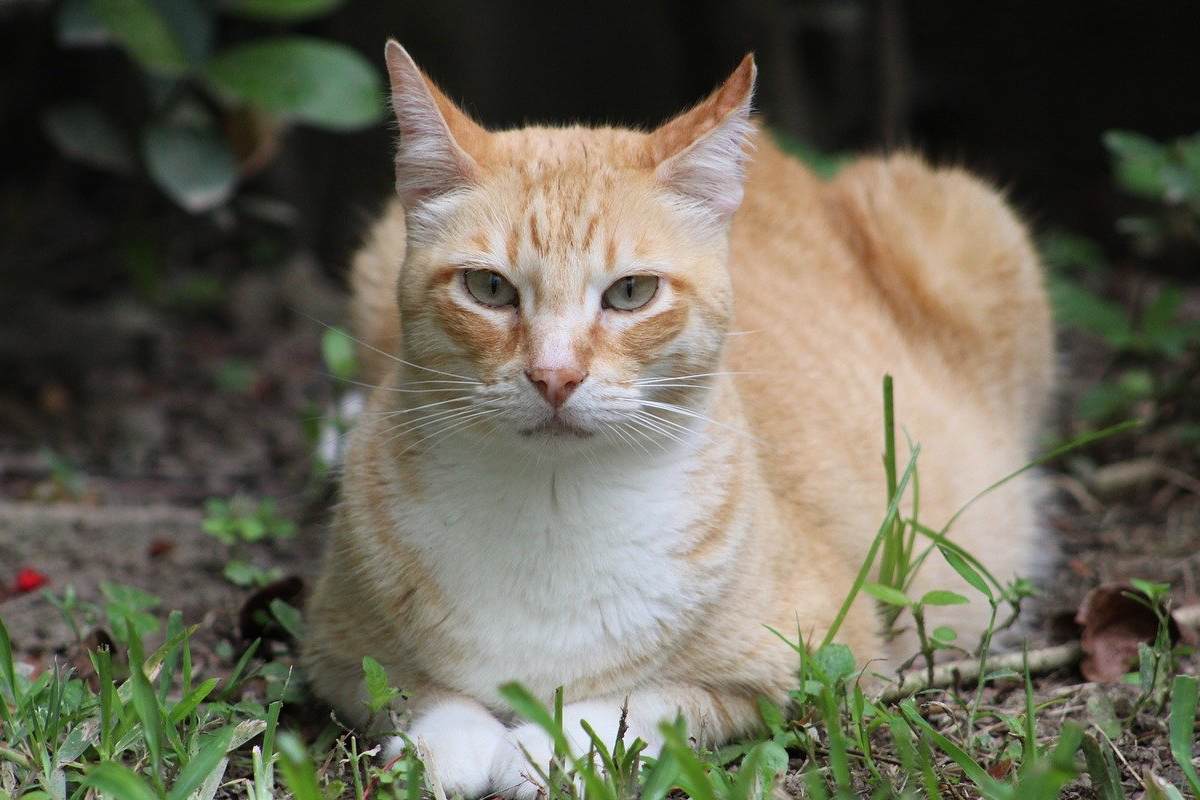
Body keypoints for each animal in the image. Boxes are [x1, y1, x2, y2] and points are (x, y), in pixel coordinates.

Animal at [304, 40, 1056, 796]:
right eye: (488, 287)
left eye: (631, 293)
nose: (555, 375)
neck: (551, 505)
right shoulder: (334, 651)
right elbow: (413, 692)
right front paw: (450, 746)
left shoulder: (813, 664)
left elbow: (641, 704)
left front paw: (546, 748)